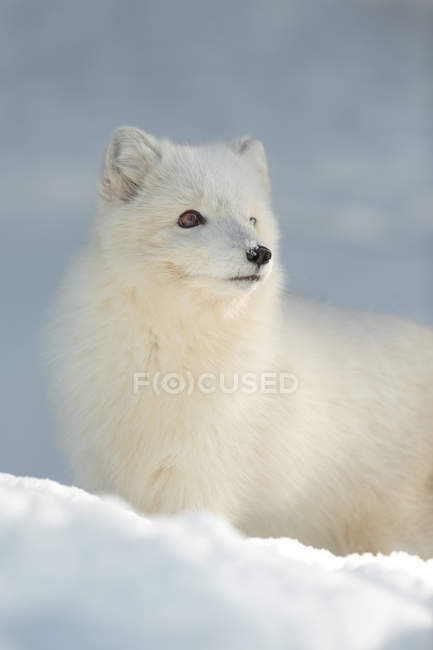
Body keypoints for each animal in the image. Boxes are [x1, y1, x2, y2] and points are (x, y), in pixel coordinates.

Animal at [47, 128, 432, 556]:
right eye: (189, 218)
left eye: (252, 219)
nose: (259, 252)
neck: (167, 356)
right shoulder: (108, 471)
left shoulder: (200, 477)